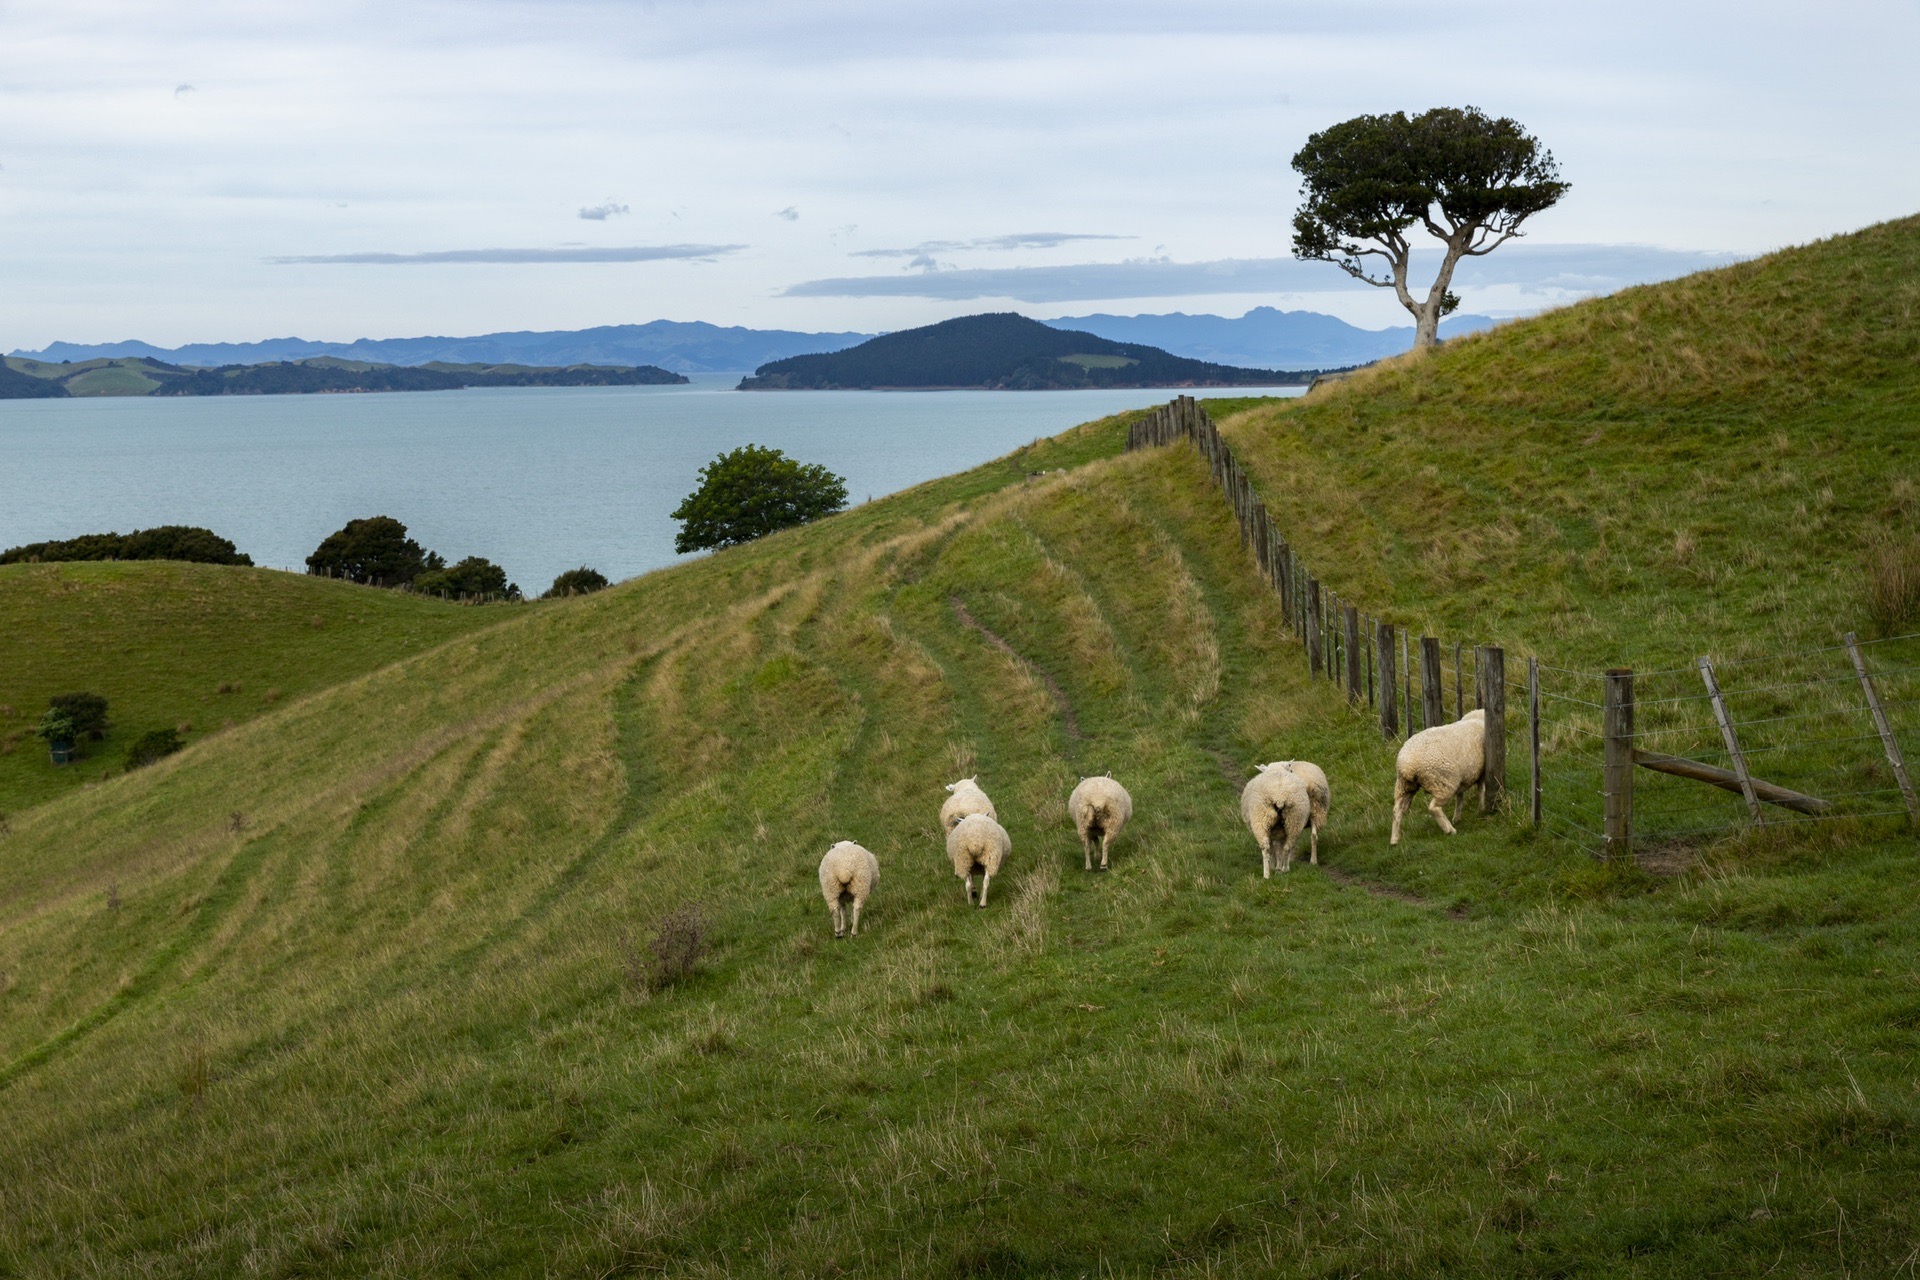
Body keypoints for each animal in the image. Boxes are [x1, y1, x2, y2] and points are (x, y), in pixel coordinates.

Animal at [1390, 706, 1489, 844]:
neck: (1477, 720)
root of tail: (1409, 765)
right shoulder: (1481, 772)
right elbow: (1481, 790)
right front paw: (1482, 809)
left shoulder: (1462, 779)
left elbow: (1460, 797)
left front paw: (1457, 817)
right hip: (1443, 782)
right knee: (1433, 807)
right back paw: (1449, 830)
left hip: (1405, 785)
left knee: (1397, 810)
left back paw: (1394, 839)